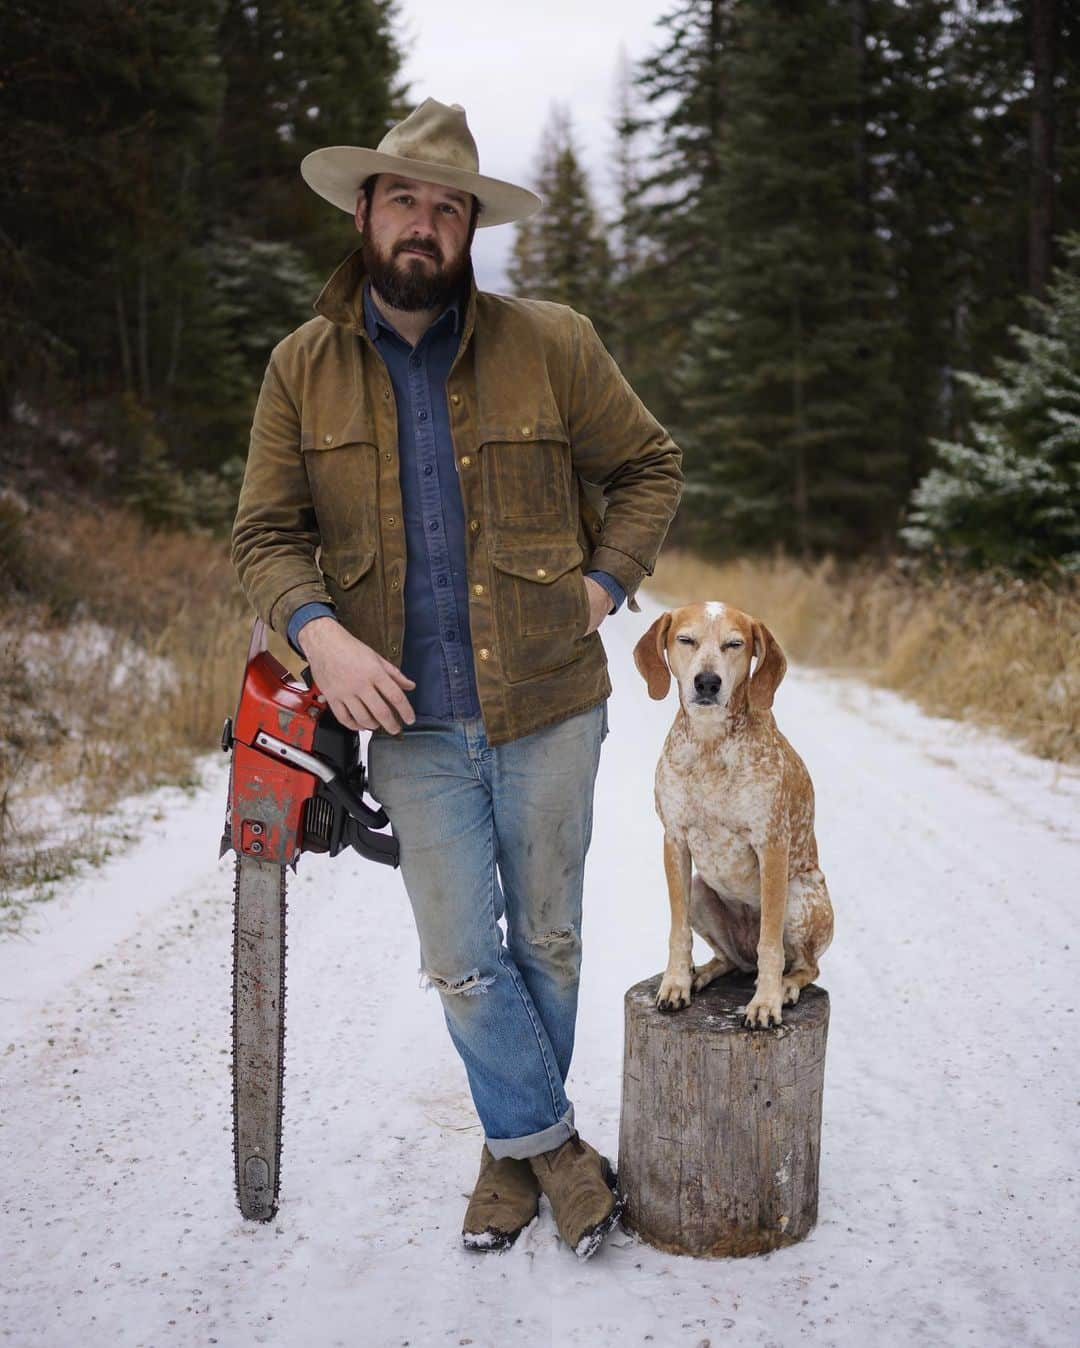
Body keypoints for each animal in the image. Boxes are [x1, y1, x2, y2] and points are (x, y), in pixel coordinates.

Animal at [631, 595, 835, 1024]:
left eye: (734, 644)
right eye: (686, 639)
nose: (707, 682)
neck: (710, 743)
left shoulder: (772, 844)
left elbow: (770, 943)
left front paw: (766, 1001)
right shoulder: (674, 840)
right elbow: (677, 931)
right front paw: (675, 982)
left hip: (800, 893)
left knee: (804, 966)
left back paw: (786, 987)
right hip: (699, 890)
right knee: (732, 960)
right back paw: (702, 973)